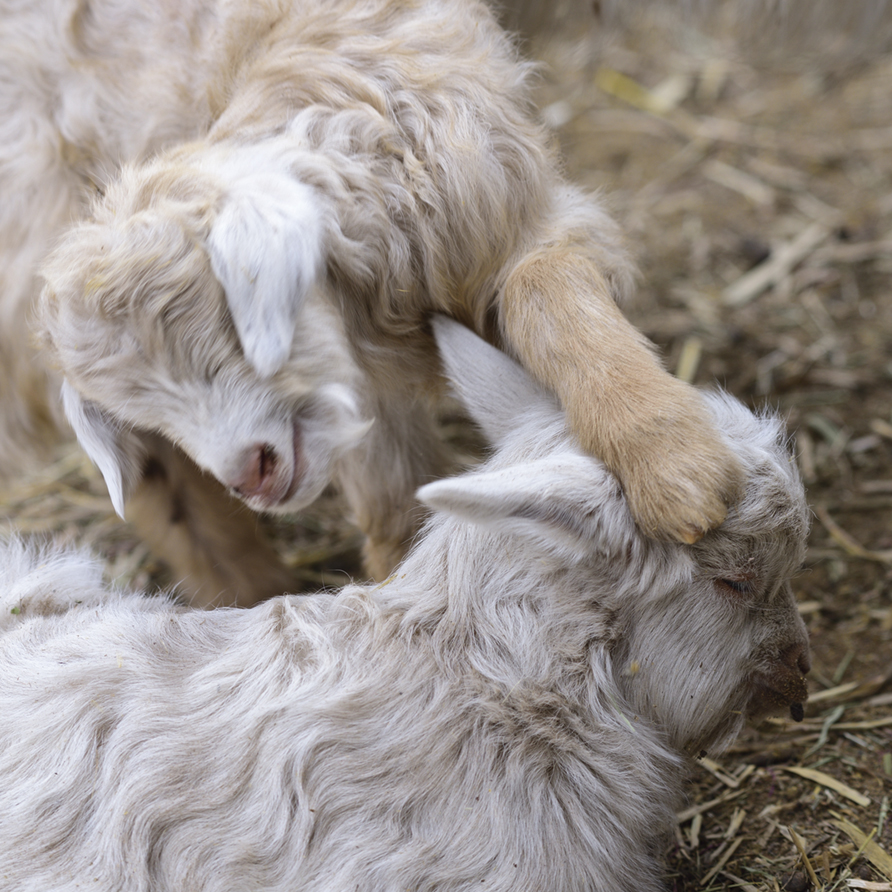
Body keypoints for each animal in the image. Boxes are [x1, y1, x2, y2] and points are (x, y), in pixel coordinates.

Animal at [26, 0, 742, 593]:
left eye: (222, 323)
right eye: (142, 406)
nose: (248, 478)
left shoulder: (516, 216)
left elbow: (543, 292)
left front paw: (674, 470)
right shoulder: (357, 390)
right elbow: (393, 500)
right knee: (160, 486)